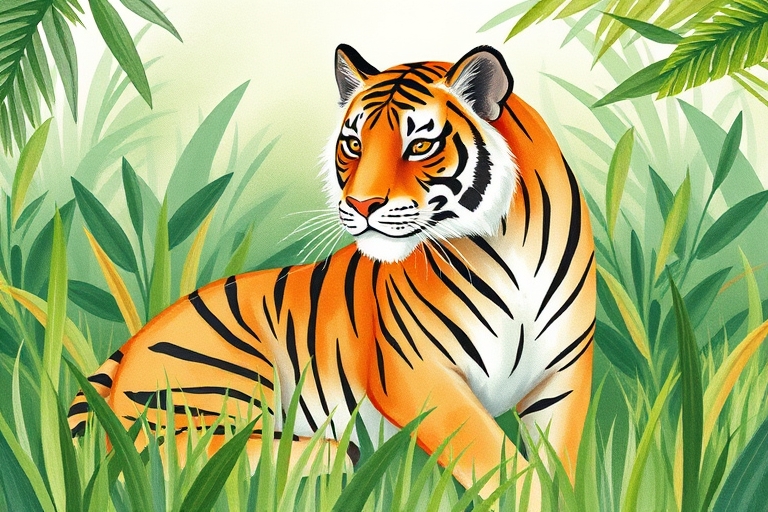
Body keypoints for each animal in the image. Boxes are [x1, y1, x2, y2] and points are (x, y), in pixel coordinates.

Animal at [68, 44, 596, 499]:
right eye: (354, 143)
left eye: (420, 145)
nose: (360, 204)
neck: (507, 245)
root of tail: (131, 345)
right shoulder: (419, 375)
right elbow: (499, 460)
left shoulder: (563, 379)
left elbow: (557, 467)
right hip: (224, 377)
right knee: (169, 455)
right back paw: (332, 455)